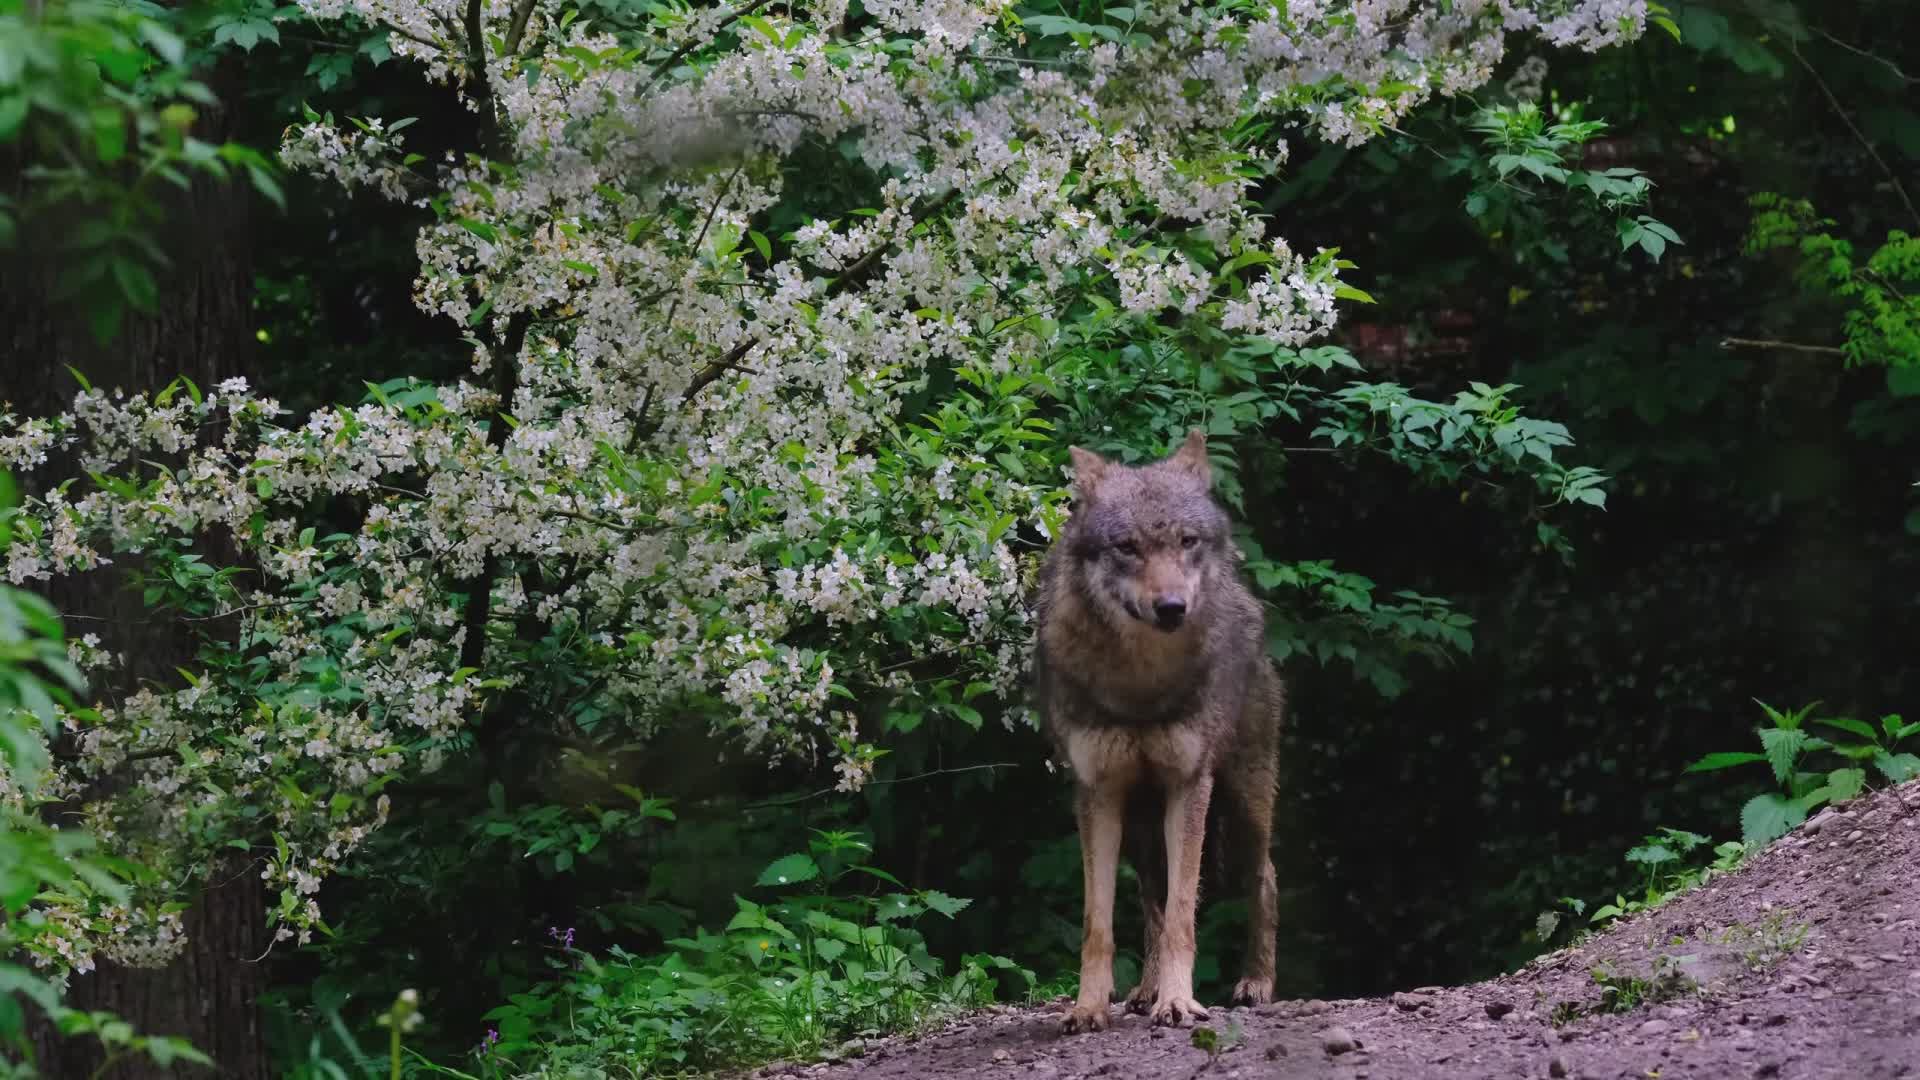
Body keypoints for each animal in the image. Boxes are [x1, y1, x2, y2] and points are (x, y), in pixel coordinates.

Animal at [1029, 426, 1282, 1022]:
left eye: (1187, 541)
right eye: (1127, 547)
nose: (1171, 607)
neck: (1139, 684)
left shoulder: (1189, 786)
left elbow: (1184, 914)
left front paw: (1179, 1001)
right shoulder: (1097, 792)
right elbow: (1100, 923)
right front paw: (1089, 1008)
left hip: (1243, 805)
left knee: (1265, 880)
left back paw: (1256, 983)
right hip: (1142, 825)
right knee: (1152, 899)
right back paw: (1144, 992)